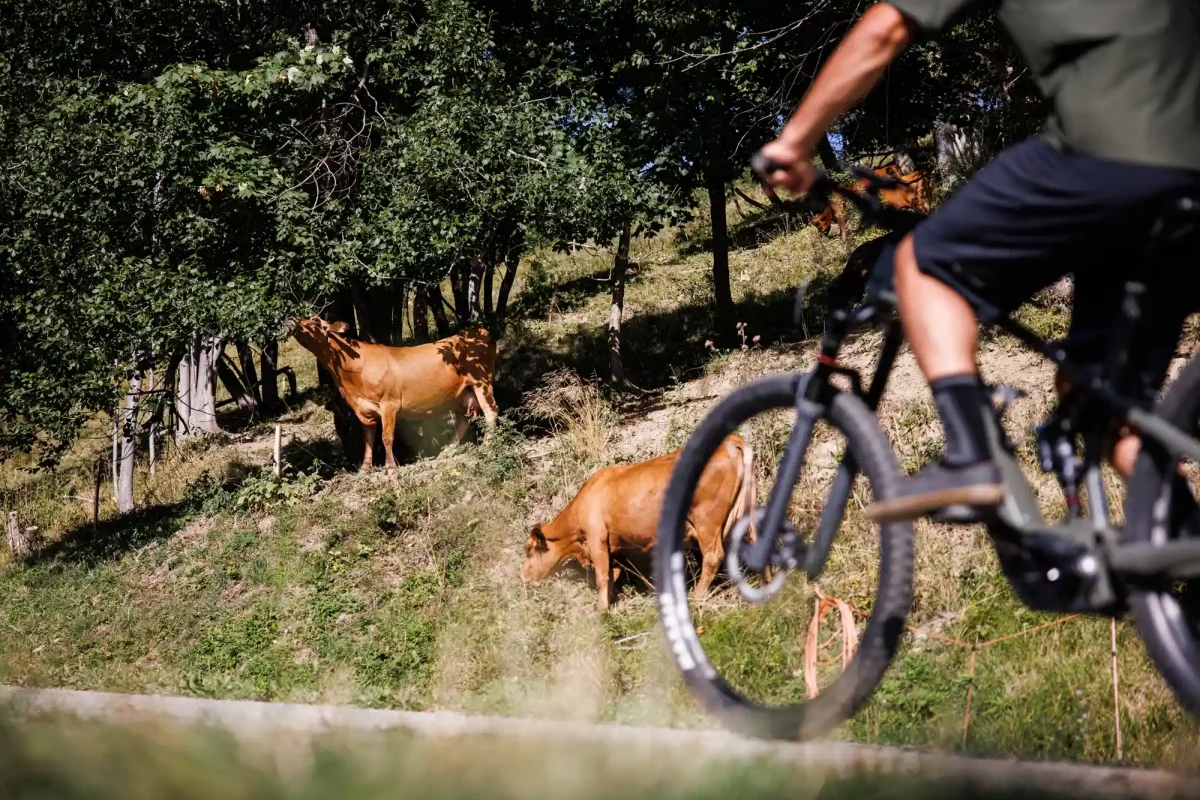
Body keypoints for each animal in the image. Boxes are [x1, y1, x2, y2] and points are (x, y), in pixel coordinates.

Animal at [292, 316, 499, 472]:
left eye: (316, 320)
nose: (294, 321)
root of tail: (480, 332)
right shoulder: (363, 409)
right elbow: (368, 439)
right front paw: (365, 468)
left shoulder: (388, 404)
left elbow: (386, 437)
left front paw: (390, 466)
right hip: (459, 395)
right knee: (463, 419)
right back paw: (446, 451)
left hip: (481, 381)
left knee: (491, 411)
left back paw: (488, 445)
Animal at [520, 434, 753, 609]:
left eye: (529, 549)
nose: (523, 576)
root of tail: (730, 440)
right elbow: (614, 576)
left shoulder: (596, 539)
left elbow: (602, 577)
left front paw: (602, 612)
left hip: (707, 520)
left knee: (713, 557)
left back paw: (696, 598)